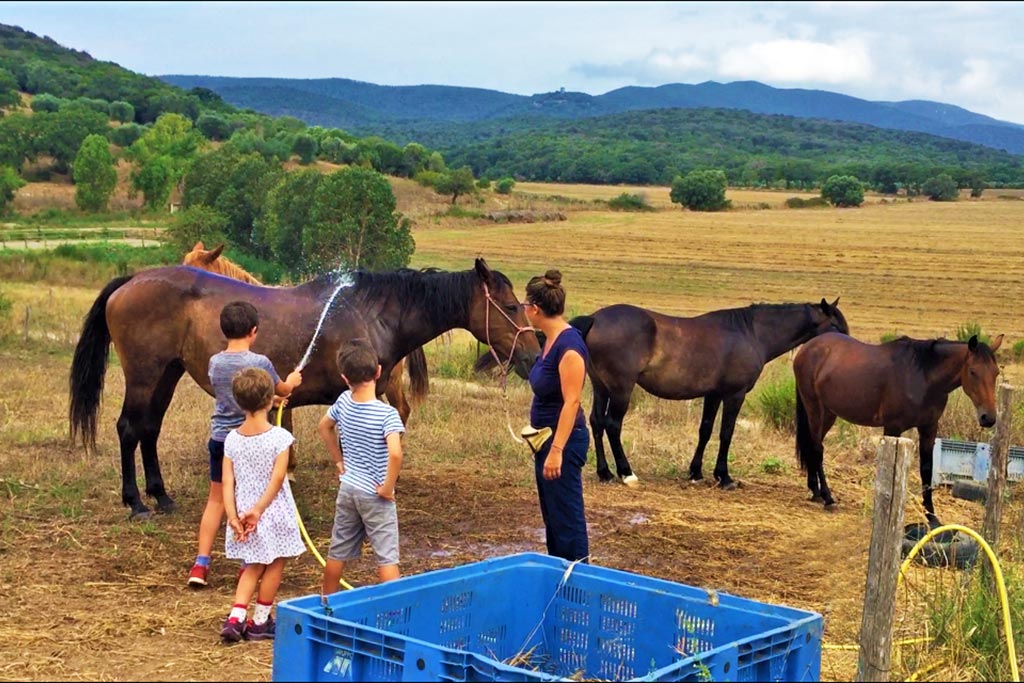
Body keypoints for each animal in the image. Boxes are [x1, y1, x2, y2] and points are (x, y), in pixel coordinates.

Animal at [68, 260, 540, 518]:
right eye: (511, 306)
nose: (534, 355)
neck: (372, 314)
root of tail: (131, 281)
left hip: (167, 374)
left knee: (149, 429)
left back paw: (161, 496)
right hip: (144, 376)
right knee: (129, 429)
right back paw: (135, 502)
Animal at [569, 299, 847, 485]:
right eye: (835, 325)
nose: (846, 347)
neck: (751, 333)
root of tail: (595, 318)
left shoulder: (713, 395)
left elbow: (705, 430)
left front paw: (696, 472)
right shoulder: (734, 395)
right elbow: (726, 433)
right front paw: (724, 476)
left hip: (601, 387)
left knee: (597, 422)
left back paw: (605, 472)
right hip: (621, 389)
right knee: (612, 425)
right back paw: (626, 473)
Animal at [790, 333, 999, 528]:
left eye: (996, 373)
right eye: (973, 371)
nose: (988, 418)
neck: (923, 376)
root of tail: (808, 347)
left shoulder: (929, 428)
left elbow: (926, 470)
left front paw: (931, 516)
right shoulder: (893, 428)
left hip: (829, 413)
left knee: (813, 446)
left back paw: (815, 491)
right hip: (815, 409)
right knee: (817, 449)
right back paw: (827, 497)